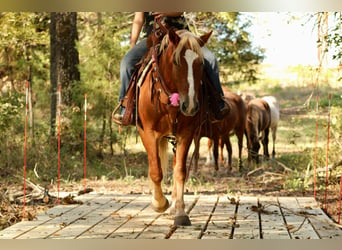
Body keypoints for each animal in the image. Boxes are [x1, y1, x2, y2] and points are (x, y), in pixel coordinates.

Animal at [136, 27, 211, 227]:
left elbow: (180, 171)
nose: (190, 105)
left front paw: (180, 212)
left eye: (201, 63)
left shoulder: (186, 133)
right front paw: (159, 203)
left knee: (177, 164)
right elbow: (156, 171)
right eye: (176, 62)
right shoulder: (147, 133)